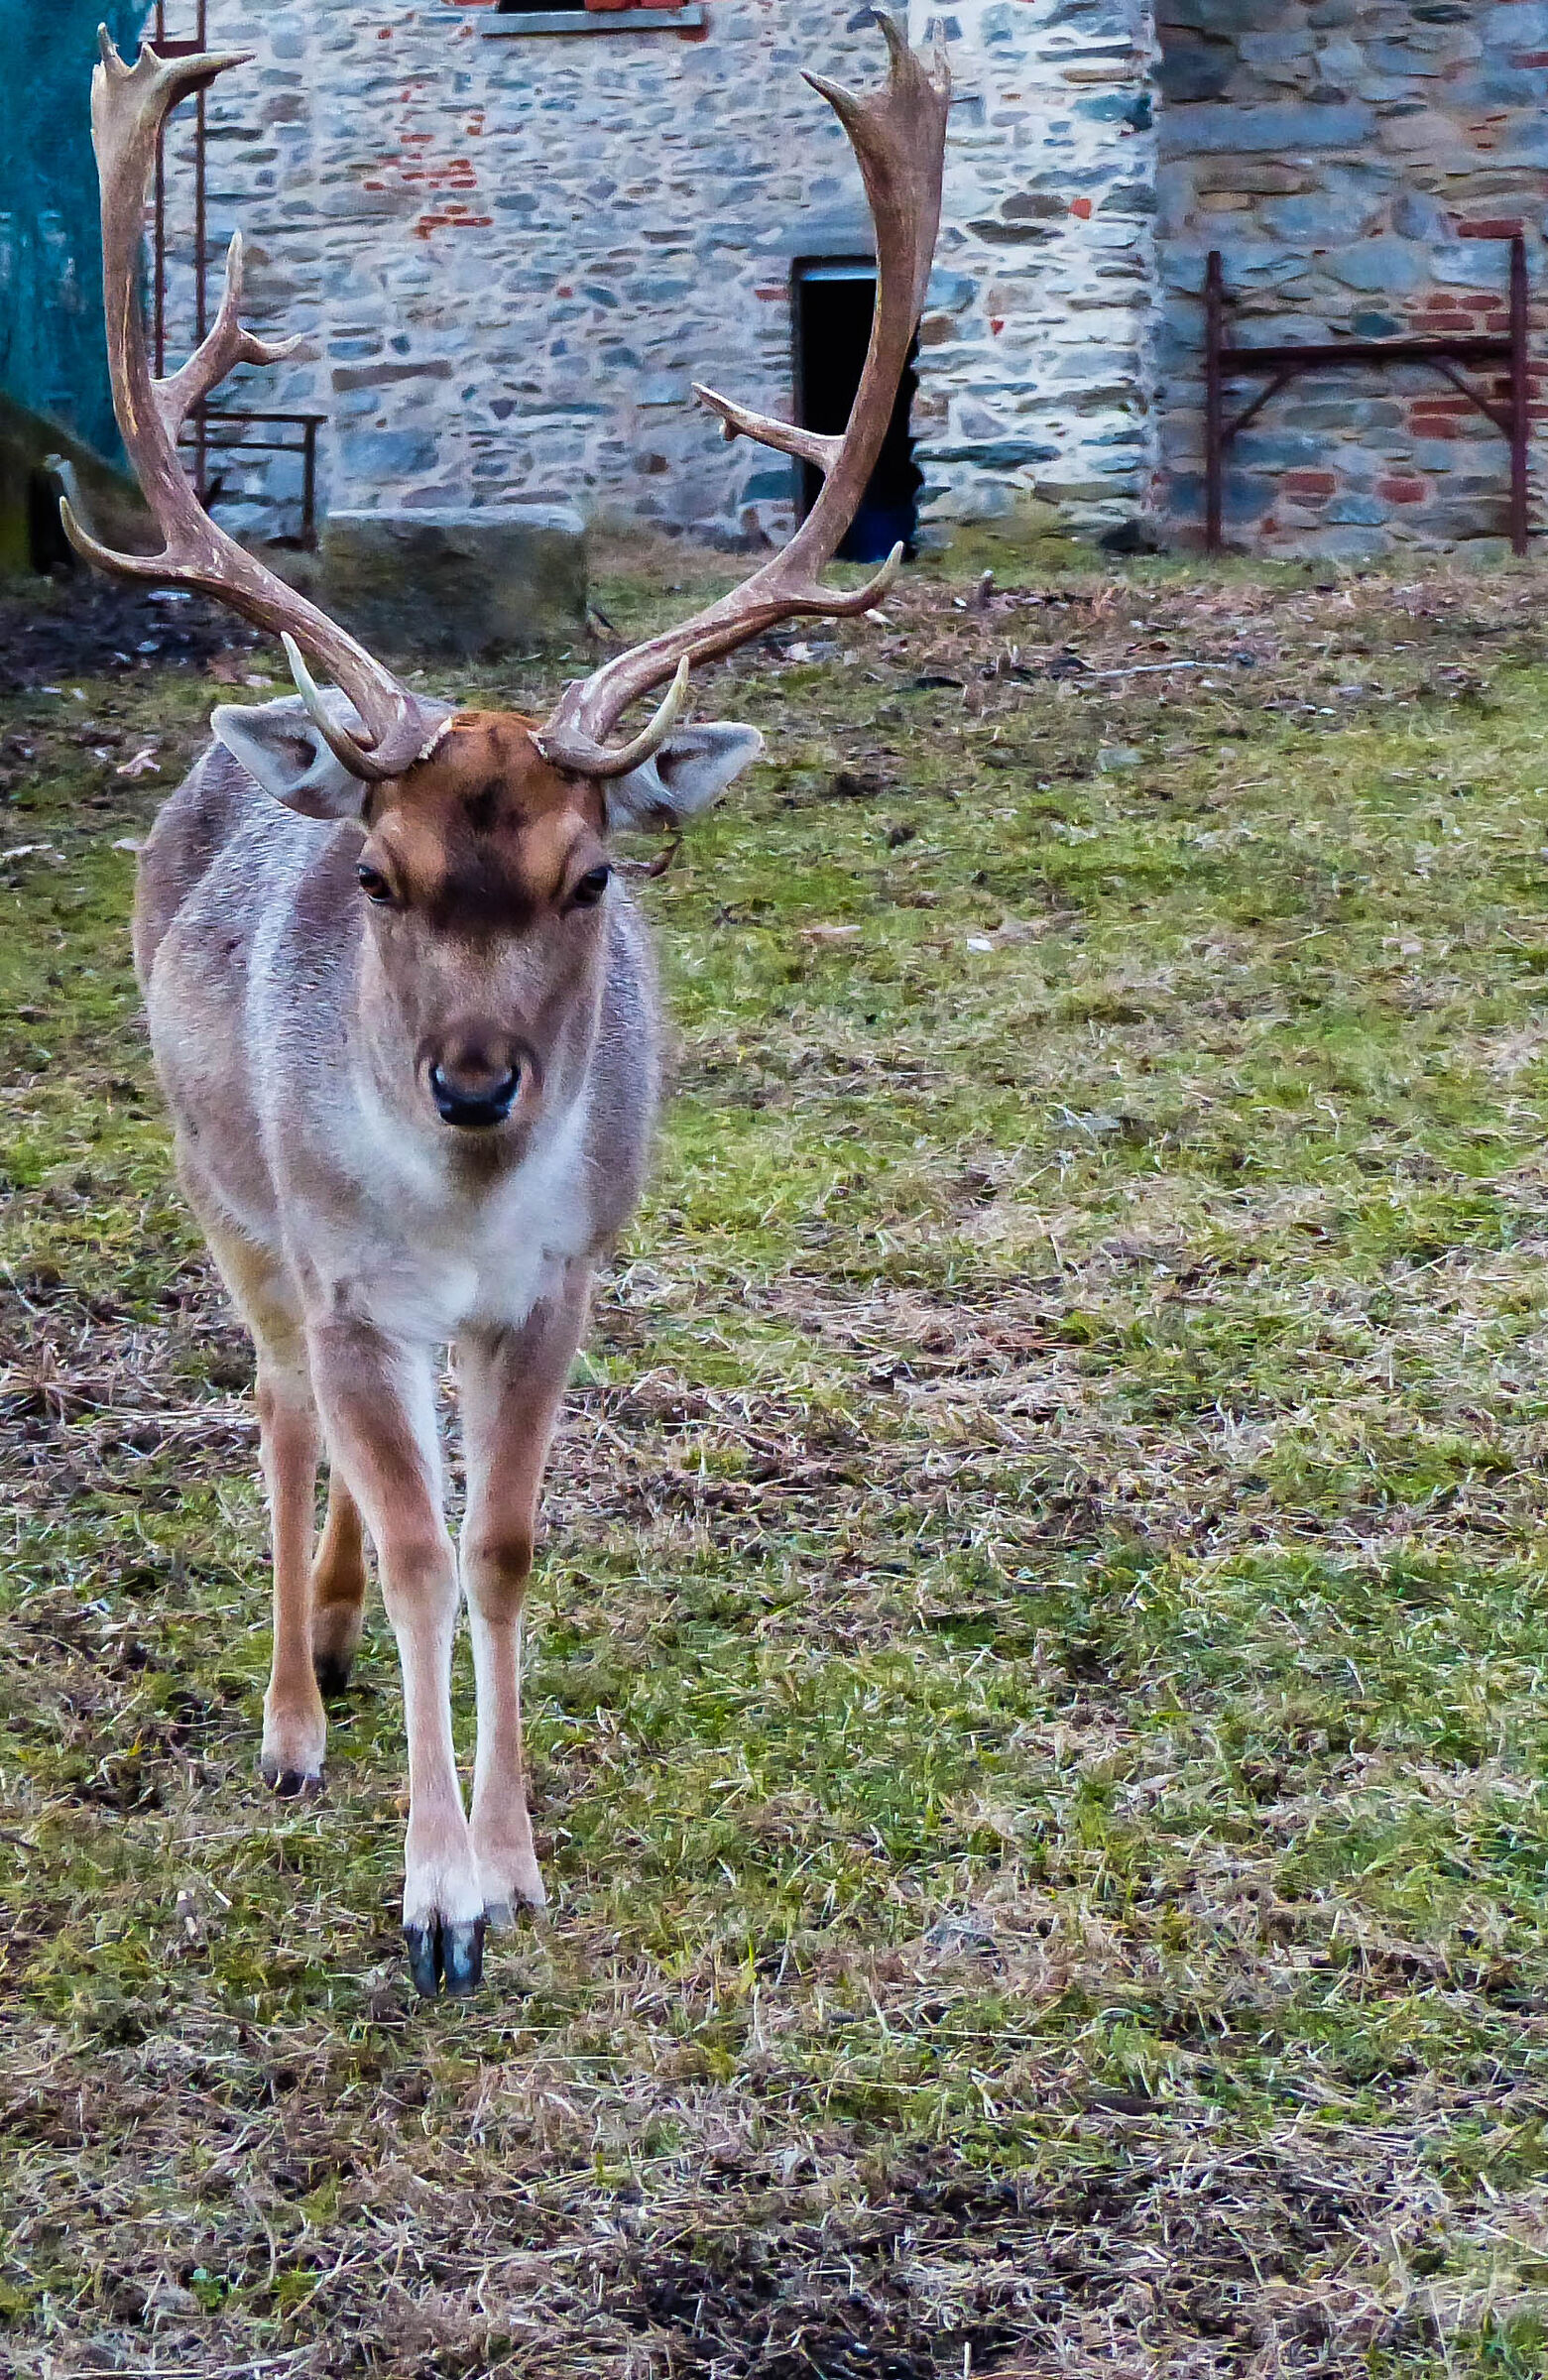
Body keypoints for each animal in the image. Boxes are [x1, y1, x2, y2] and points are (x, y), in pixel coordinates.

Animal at [62, 17, 947, 1995]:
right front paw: (436, 1894)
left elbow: (504, 1544)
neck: (457, 1214)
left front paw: (518, 1861)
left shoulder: (556, 1283)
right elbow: (409, 1544)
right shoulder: (348, 1277)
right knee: (278, 1409)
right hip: (225, 1196)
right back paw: (292, 1715)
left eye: (594, 878)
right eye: (379, 878)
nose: (475, 1086)